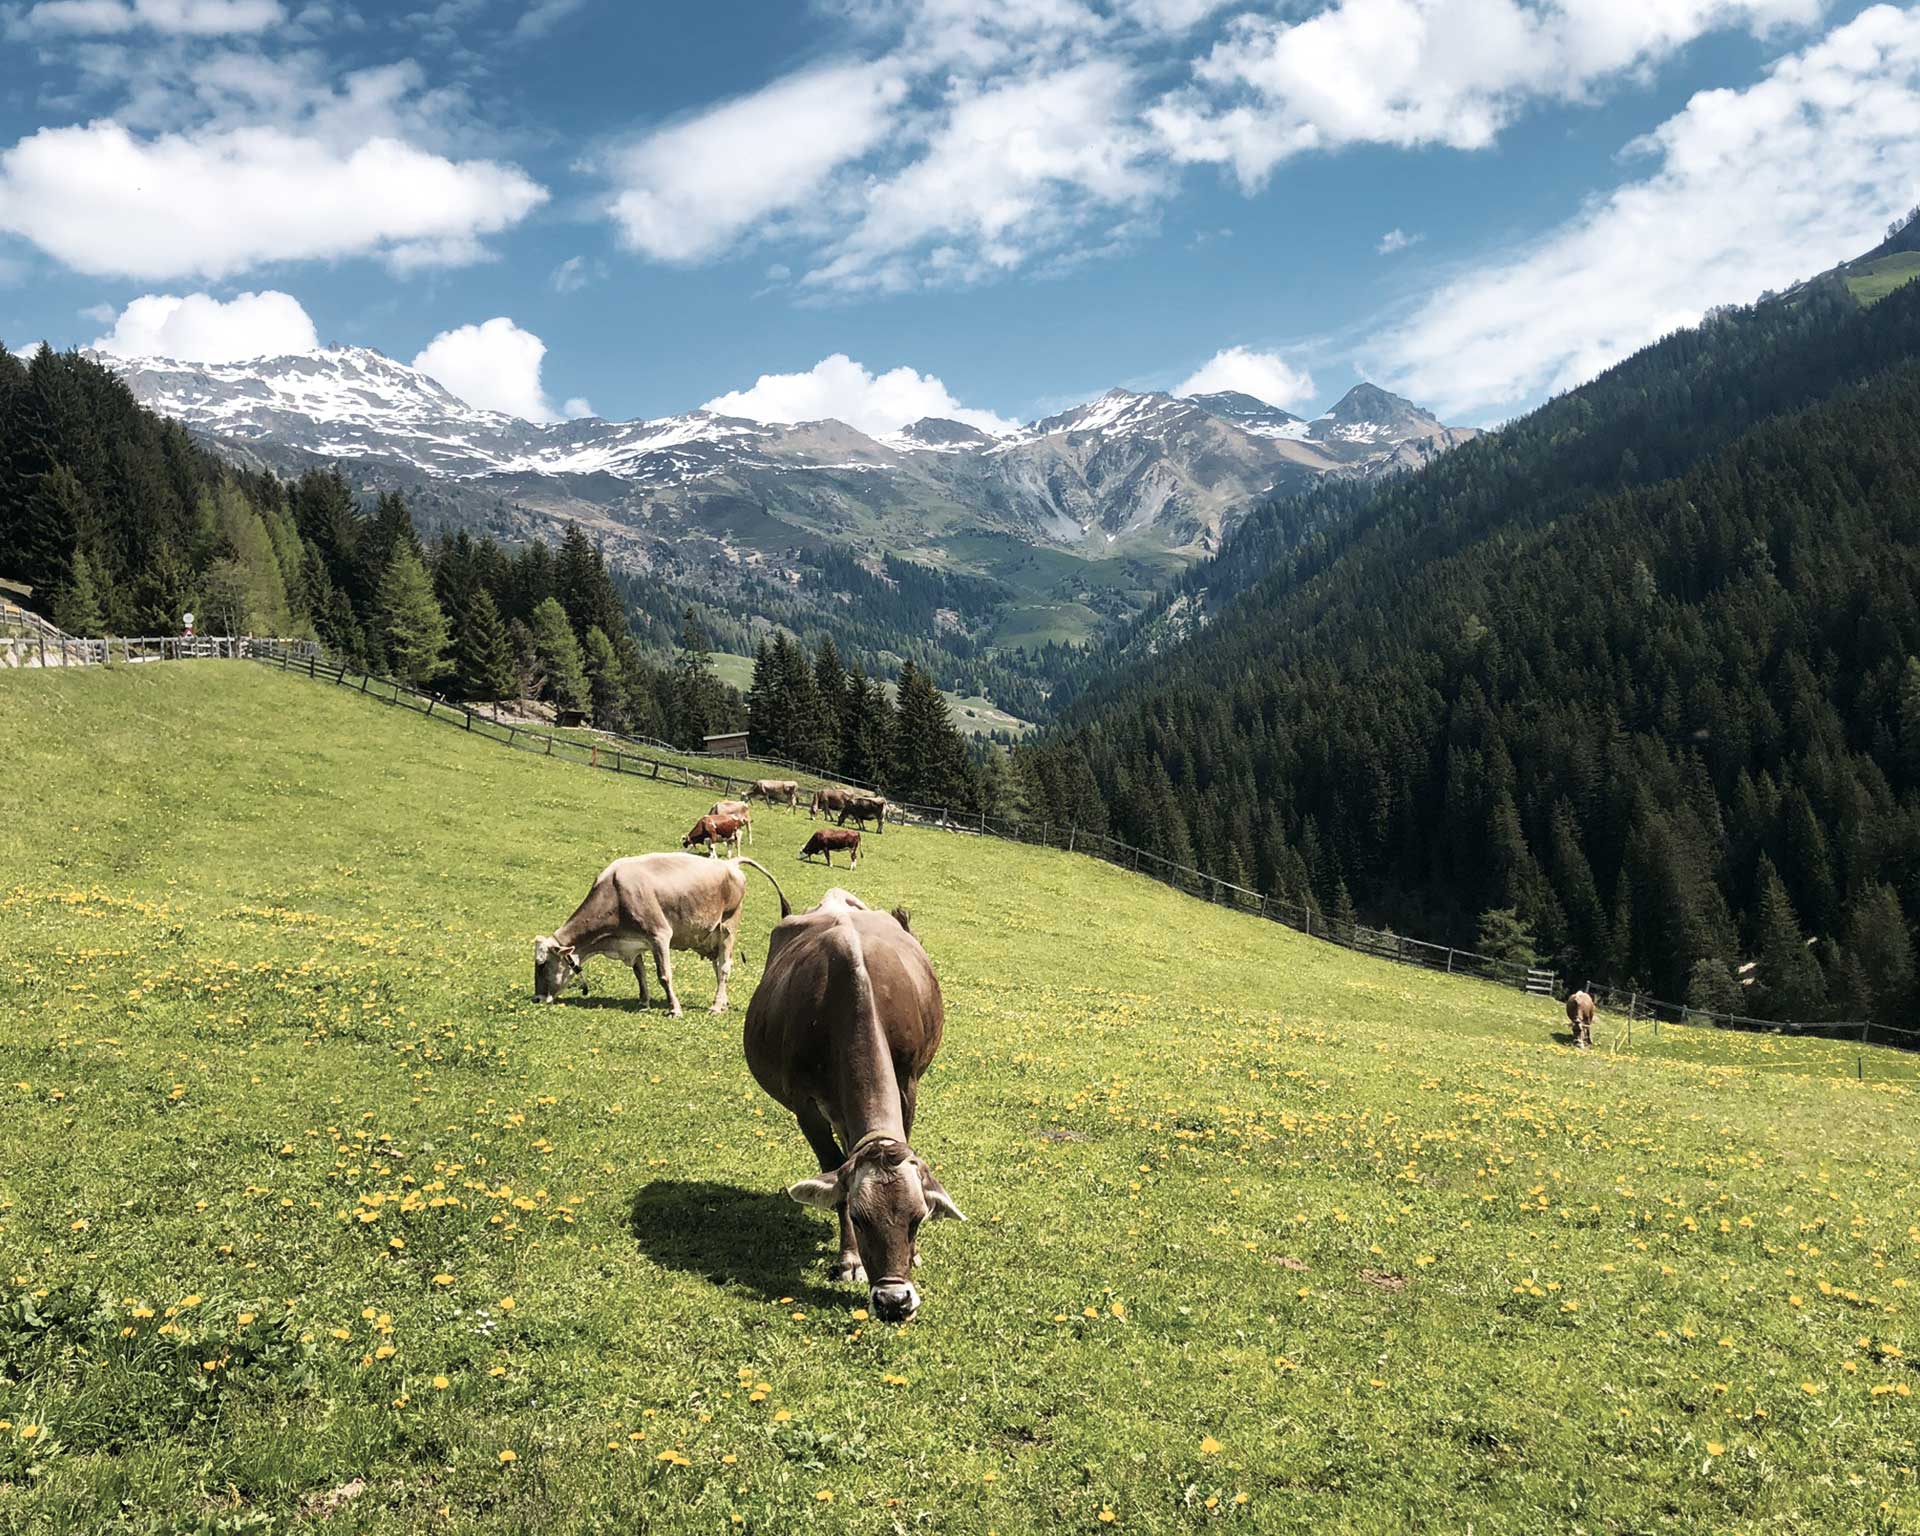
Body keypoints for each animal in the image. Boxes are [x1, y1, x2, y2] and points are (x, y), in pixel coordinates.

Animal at [533, 852, 787, 1021]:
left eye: (543, 964)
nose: (537, 998)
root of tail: (729, 863)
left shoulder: (659, 936)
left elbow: (664, 976)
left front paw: (674, 1009)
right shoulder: (632, 944)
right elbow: (640, 974)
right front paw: (644, 1002)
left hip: (727, 926)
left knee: (724, 967)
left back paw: (715, 1006)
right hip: (712, 936)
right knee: (718, 967)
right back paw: (723, 1003)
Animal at [744, 887, 960, 1320]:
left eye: (917, 1219)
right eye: (859, 1219)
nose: (895, 1302)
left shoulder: (908, 1082)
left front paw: (915, 1255)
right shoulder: (806, 1105)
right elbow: (833, 1167)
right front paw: (850, 1259)